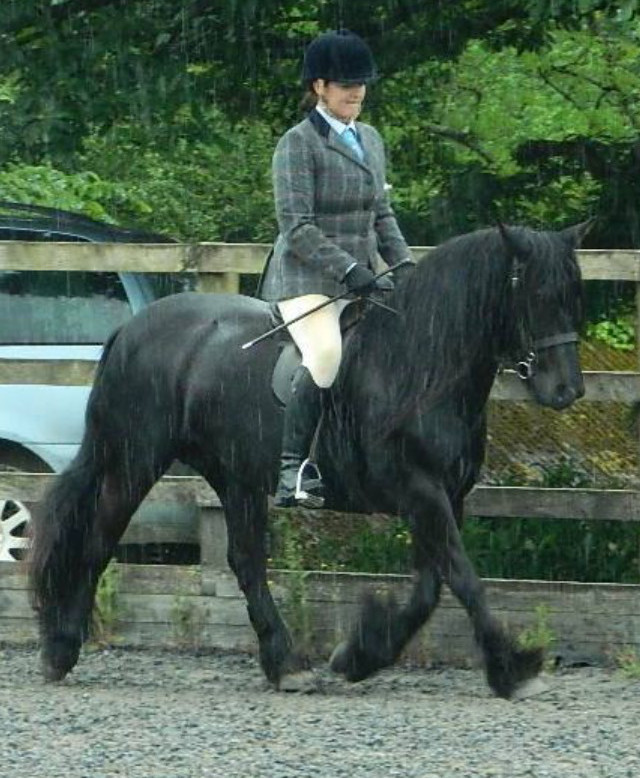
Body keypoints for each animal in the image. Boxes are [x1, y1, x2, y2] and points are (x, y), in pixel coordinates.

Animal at [32, 220, 588, 696]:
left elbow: (431, 586)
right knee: (100, 539)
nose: (567, 391)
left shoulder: (445, 495)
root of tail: (132, 329)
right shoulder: (419, 489)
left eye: (574, 295)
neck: (421, 365)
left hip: (235, 477)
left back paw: (285, 664)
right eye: (536, 295)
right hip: (136, 461)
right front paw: (513, 667)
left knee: (245, 561)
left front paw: (361, 654)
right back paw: (61, 650)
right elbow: (463, 578)